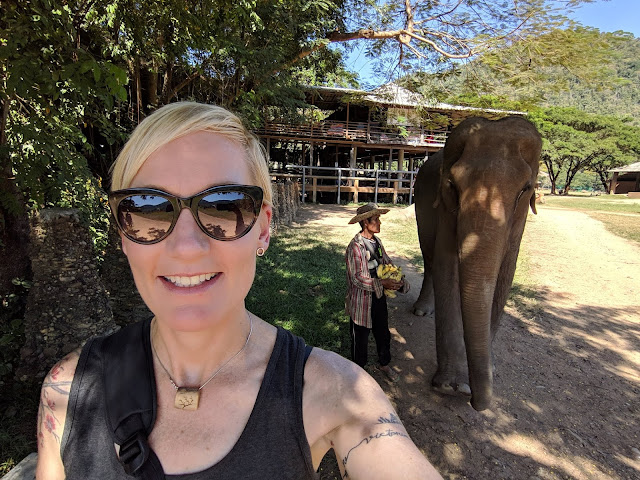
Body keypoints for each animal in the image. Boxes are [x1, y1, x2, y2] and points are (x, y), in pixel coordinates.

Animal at [412, 114, 544, 410]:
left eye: (525, 189)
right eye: (452, 184)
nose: (475, 400)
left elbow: (506, 275)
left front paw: (484, 373)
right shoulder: (445, 207)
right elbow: (446, 266)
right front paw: (452, 385)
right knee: (429, 257)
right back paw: (421, 311)